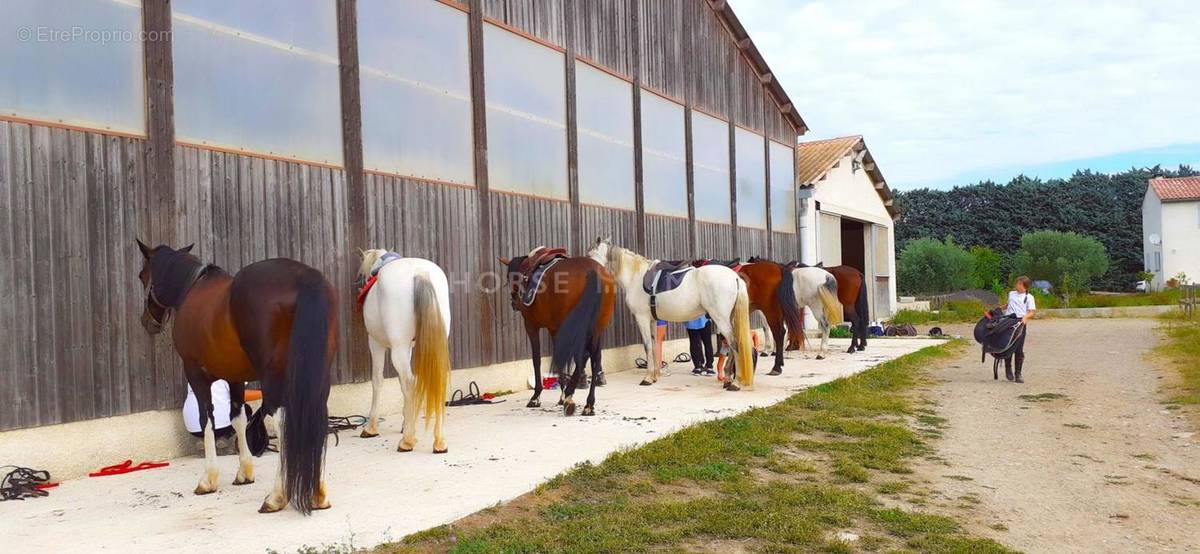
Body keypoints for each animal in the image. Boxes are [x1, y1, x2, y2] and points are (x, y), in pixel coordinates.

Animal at [136, 239, 338, 513]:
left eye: (141, 276)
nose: (147, 322)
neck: (191, 288)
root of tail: (304, 276)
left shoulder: (194, 372)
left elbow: (206, 419)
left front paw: (208, 480)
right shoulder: (234, 376)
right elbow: (238, 418)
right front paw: (245, 472)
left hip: (275, 378)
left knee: (283, 421)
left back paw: (276, 497)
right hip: (317, 374)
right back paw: (318, 494)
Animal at [357, 249, 451, 453]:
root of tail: (420, 274)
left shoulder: (375, 343)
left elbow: (378, 381)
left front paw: (371, 428)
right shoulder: (408, 348)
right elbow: (400, 383)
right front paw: (406, 421)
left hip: (396, 348)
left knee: (410, 383)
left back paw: (407, 441)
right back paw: (439, 441)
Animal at [496, 247, 614, 414]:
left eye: (509, 278)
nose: (514, 303)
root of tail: (593, 272)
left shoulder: (531, 326)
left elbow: (537, 359)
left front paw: (536, 396)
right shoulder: (554, 329)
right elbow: (560, 358)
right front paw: (562, 394)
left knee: (584, 355)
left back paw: (573, 396)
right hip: (596, 327)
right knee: (594, 357)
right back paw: (587, 402)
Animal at [588, 237, 748, 388]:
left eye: (590, 255)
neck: (635, 277)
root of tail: (734, 276)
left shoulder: (642, 318)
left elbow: (647, 346)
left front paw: (647, 378)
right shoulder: (652, 320)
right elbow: (653, 346)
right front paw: (653, 376)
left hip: (720, 319)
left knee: (734, 344)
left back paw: (735, 383)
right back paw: (728, 379)